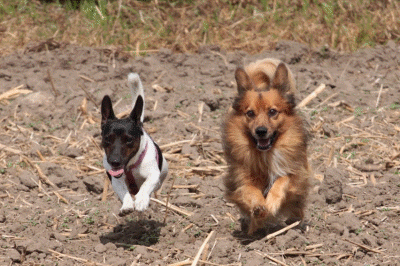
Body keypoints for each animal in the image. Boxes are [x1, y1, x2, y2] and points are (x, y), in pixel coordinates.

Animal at [101, 73, 169, 216]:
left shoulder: (153, 174)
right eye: (107, 139)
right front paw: (127, 205)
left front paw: (142, 200)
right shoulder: (116, 180)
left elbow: (146, 185)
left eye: (129, 140)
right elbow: (123, 191)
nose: (114, 161)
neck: (130, 167)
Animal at [223, 58, 310, 235]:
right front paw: (259, 207)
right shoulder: (242, 179)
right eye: (250, 113)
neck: (265, 155)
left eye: (272, 112)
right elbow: (249, 190)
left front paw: (271, 203)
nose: (261, 131)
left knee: (297, 210)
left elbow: (282, 179)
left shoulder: (296, 175)